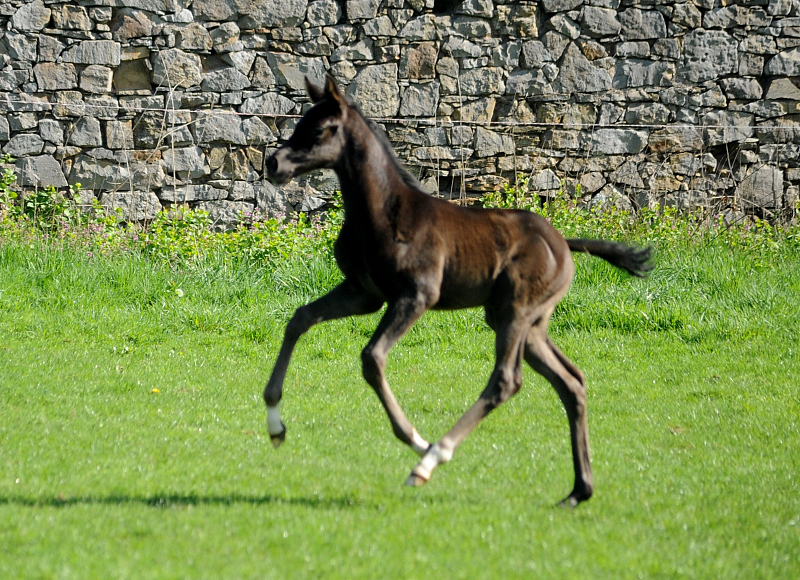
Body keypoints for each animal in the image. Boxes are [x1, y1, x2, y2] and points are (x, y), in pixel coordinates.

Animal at [262, 75, 648, 506]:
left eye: (320, 130)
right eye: (299, 122)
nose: (274, 164)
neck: (382, 212)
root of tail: (563, 243)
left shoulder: (416, 296)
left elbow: (372, 358)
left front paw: (416, 440)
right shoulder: (364, 293)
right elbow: (299, 319)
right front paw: (276, 426)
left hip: (515, 312)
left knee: (506, 381)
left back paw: (431, 459)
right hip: (526, 323)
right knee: (571, 382)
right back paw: (579, 490)